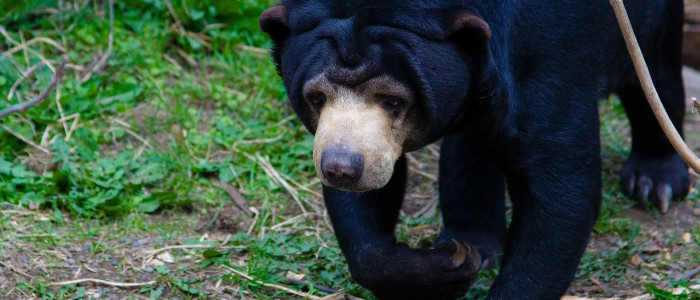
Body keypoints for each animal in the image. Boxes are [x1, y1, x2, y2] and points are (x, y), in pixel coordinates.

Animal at [258, 1, 688, 298]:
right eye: (316, 96)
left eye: (393, 100)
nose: (341, 167)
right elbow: (367, 215)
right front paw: (448, 266)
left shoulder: (542, 65)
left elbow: (562, 194)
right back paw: (474, 242)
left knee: (655, 74)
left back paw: (655, 181)